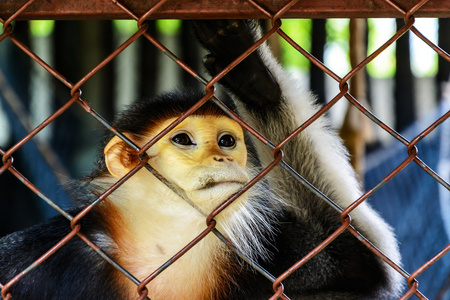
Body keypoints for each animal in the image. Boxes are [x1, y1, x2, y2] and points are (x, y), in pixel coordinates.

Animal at [0, 19, 400, 298]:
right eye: (183, 140)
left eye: (226, 141)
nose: (223, 159)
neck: (164, 241)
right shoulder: (51, 251)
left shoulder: (266, 250)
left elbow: (366, 261)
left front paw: (254, 78)